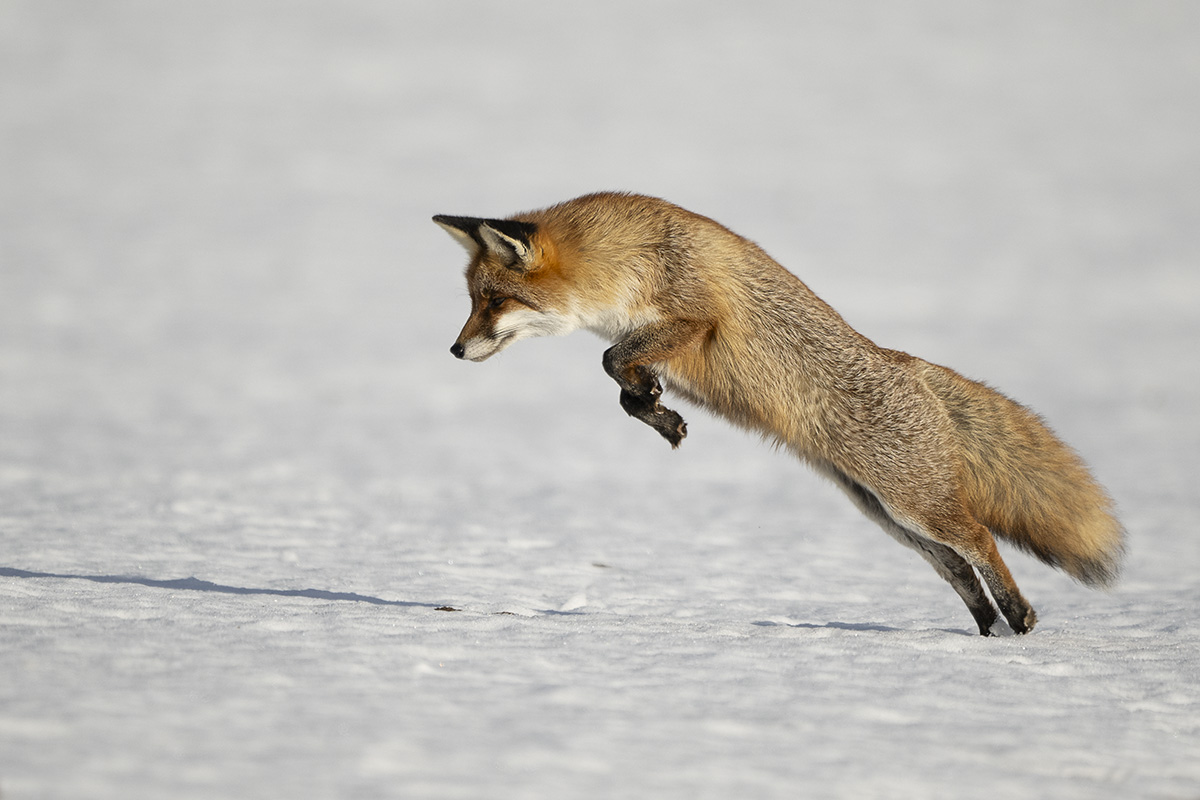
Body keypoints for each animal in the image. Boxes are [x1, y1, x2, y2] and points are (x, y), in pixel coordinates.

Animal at [434, 190, 1123, 633]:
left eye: (493, 301)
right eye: (472, 300)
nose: (455, 349)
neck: (626, 257)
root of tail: (907, 364)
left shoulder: (695, 318)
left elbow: (609, 358)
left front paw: (655, 409)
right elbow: (621, 377)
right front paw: (656, 410)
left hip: (914, 505)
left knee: (980, 538)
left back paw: (1019, 618)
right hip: (888, 516)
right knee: (958, 565)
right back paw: (988, 632)